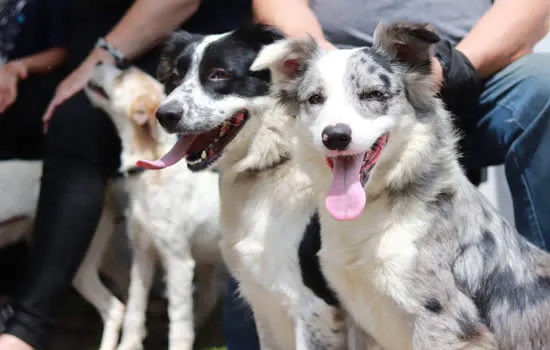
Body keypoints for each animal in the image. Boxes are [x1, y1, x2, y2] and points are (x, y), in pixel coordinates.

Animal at [86, 63, 224, 350]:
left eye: (123, 73)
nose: (96, 61)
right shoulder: (142, 253)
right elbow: (134, 310)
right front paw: (128, 345)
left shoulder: (178, 261)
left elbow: (179, 324)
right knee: (210, 294)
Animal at [140, 24, 350, 350]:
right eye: (174, 78)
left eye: (219, 74)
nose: (164, 115)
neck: (270, 165)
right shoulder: (261, 298)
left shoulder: (315, 310)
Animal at [256, 21, 550, 350]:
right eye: (315, 99)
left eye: (374, 94)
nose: (335, 136)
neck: (372, 209)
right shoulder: (357, 318)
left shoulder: (445, 322)